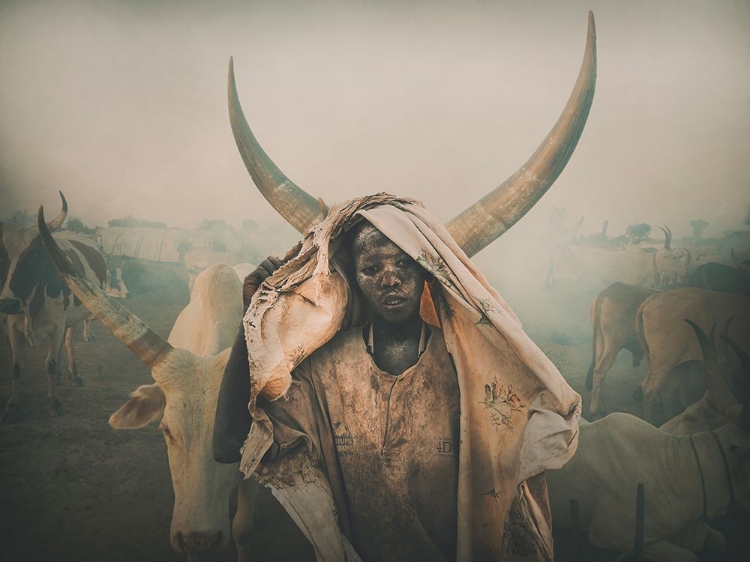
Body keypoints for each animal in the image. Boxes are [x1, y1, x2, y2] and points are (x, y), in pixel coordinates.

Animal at [0, 192, 107, 420]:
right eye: (2, 258)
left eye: (33, 257)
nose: (8, 303)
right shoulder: (11, 327)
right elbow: (16, 366)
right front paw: (13, 405)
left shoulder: (57, 326)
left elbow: (49, 363)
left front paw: (54, 402)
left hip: (71, 320)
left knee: (66, 344)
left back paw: (73, 375)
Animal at [584, 280, 660, 416]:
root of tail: (606, 292)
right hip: (614, 344)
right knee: (600, 371)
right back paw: (593, 411)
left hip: (600, 342)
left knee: (599, 372)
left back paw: (602, 409)